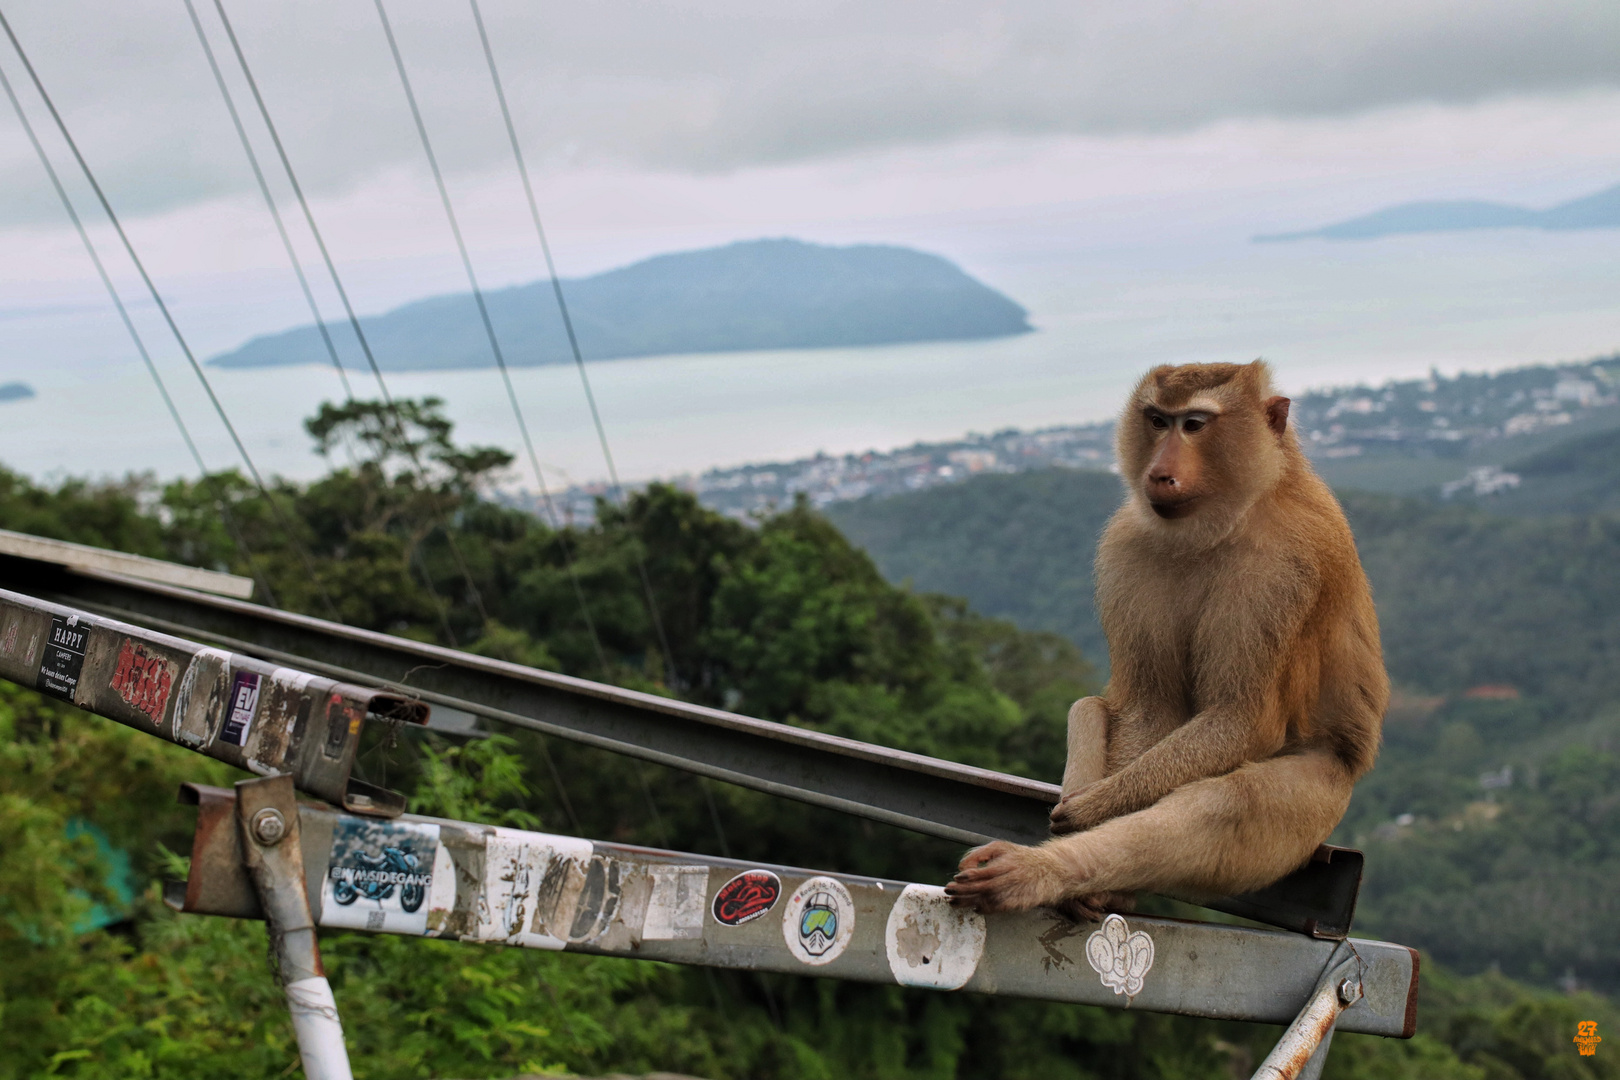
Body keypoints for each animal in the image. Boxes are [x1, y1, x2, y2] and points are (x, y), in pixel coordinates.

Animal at [946, 359, 1386, 919]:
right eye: (1158, 421)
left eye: (1194, 425)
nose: (1158, 472)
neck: (1232, 515)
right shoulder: (1129, 547)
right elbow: (1150, 708)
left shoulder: (1281, 568)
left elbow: (1242, 719)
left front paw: (1096, 809)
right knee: (1088, 708)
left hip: (1326, 791)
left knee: (1227, 805)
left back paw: (1042, 872)